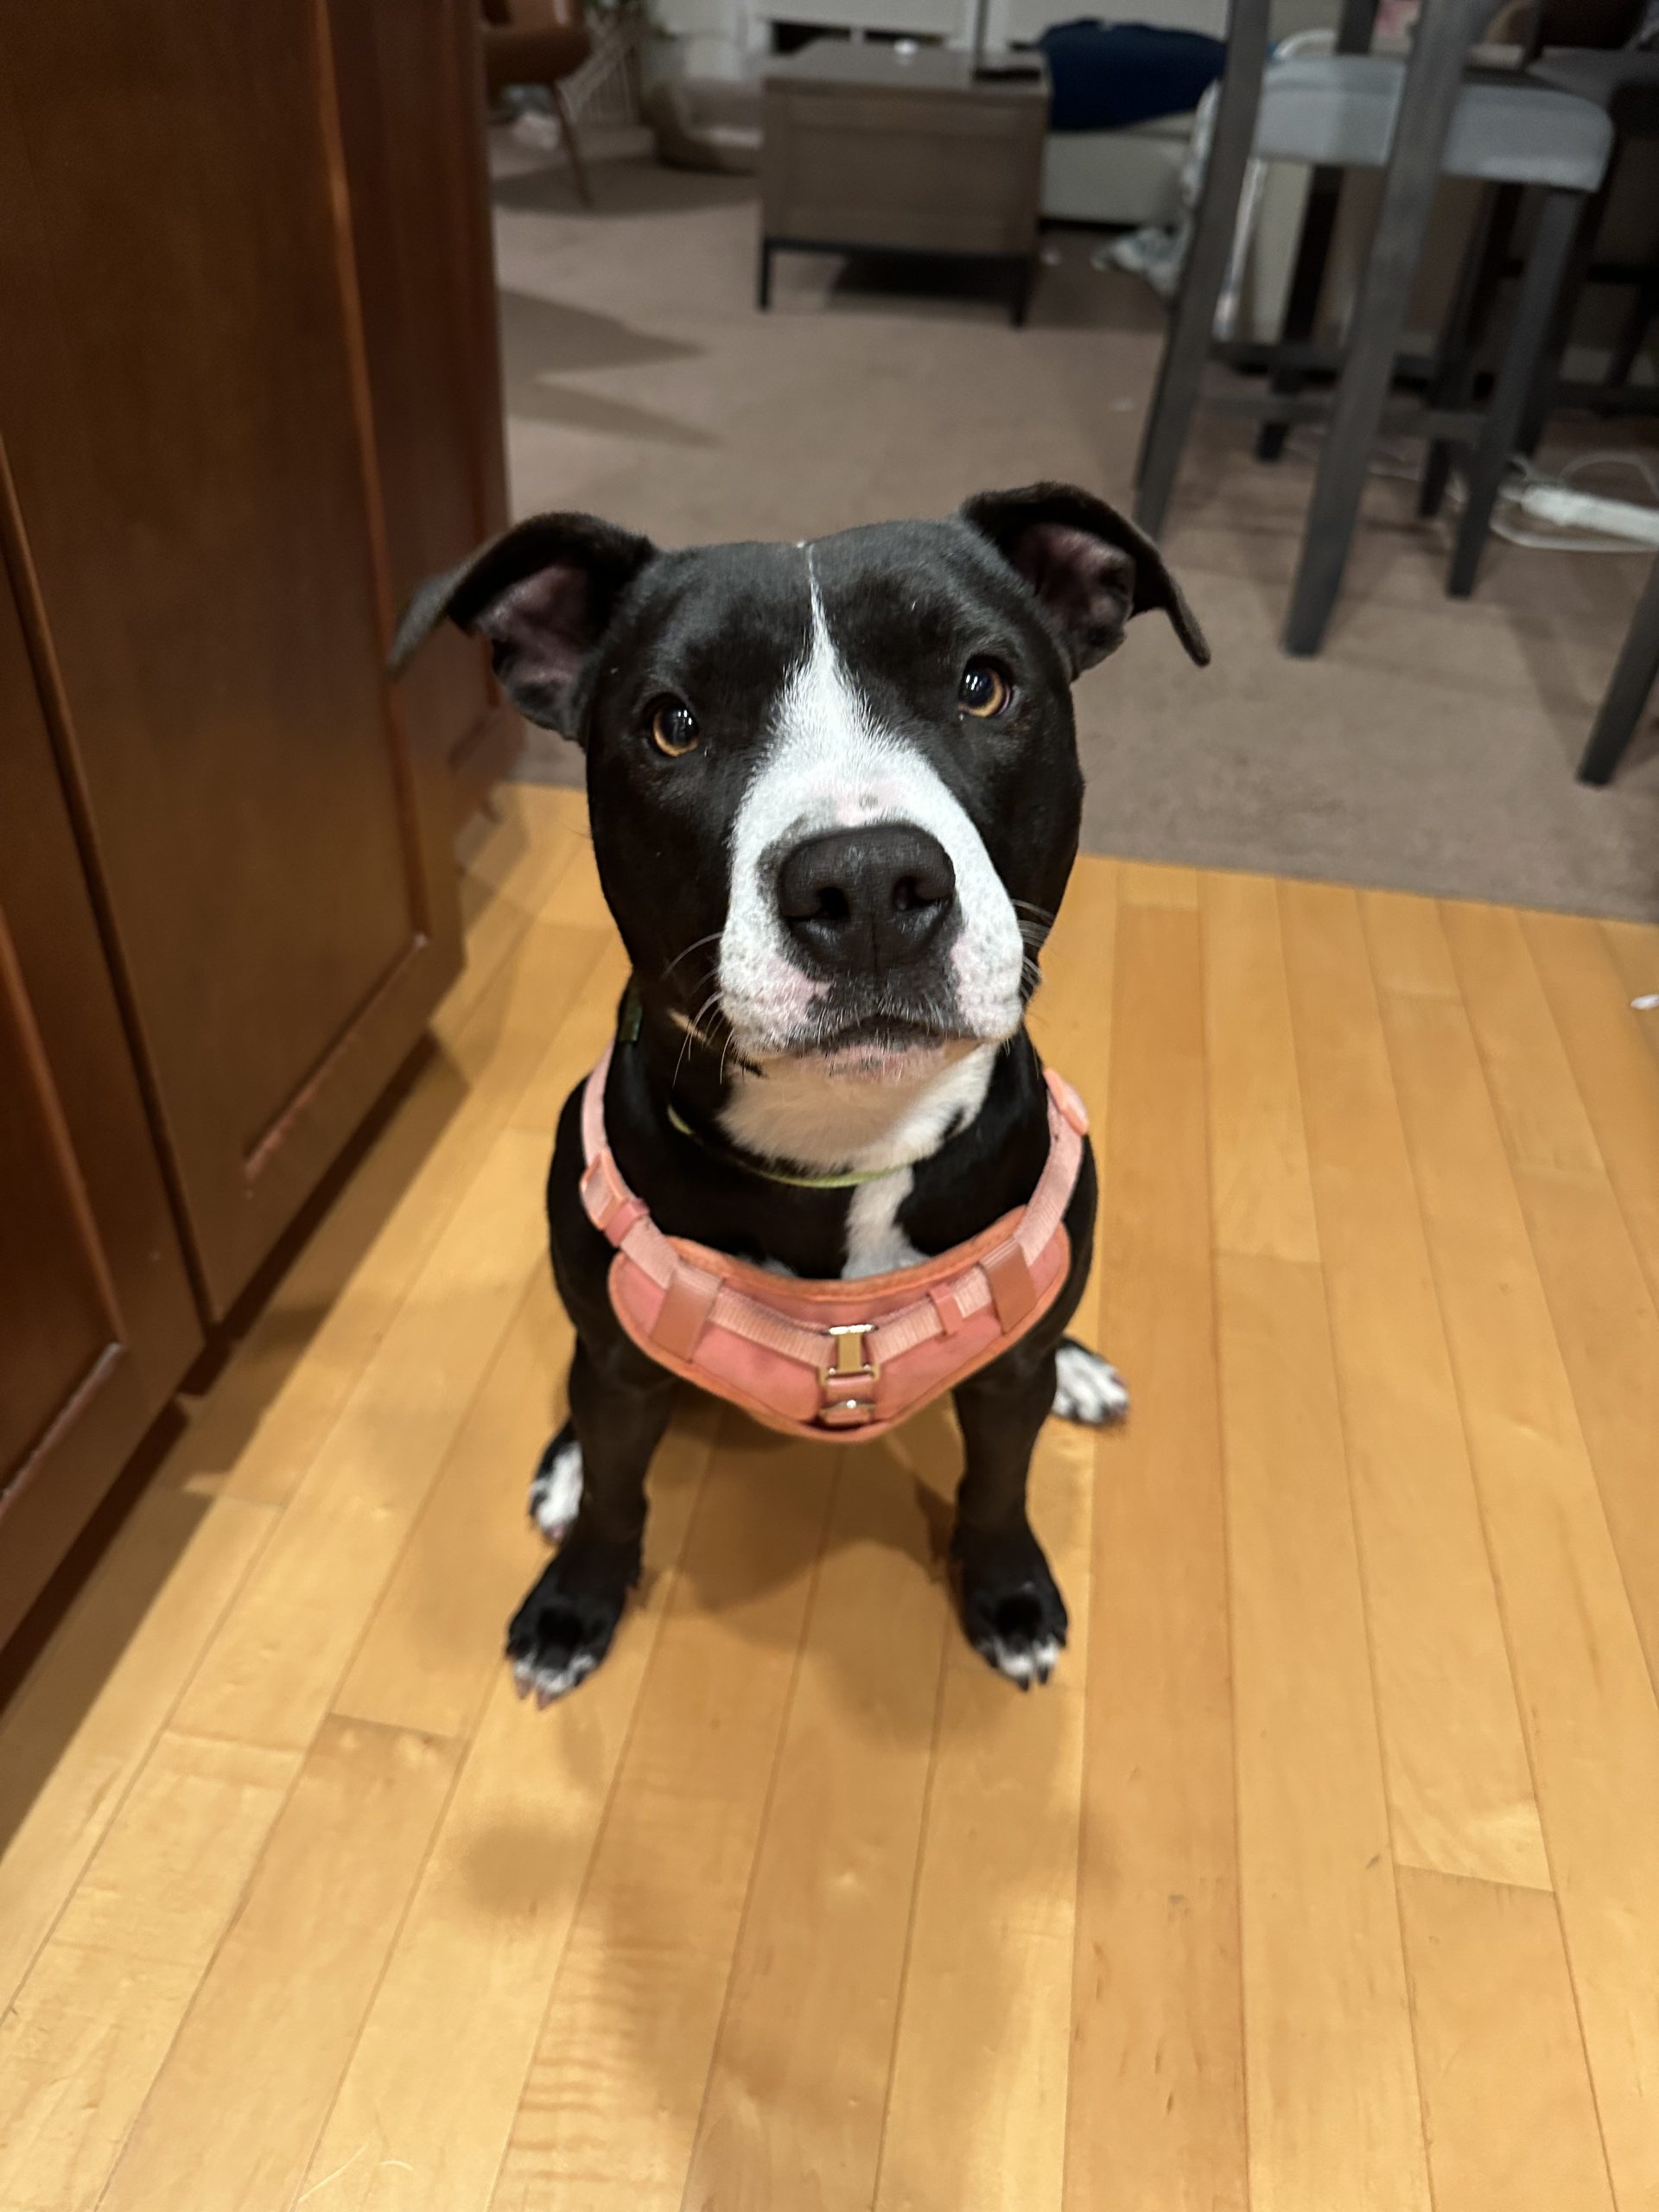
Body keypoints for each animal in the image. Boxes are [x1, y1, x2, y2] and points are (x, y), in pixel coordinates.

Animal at [400, 480, 1211, 1689]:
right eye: (673, 724)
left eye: (982, 684)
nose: (868, 882)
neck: (848, 1133)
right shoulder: (620, 1365)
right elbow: (615, 1490)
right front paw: (575, 1601)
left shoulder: (1005, 1379)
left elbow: (999, 1481)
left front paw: (1009, 1589)